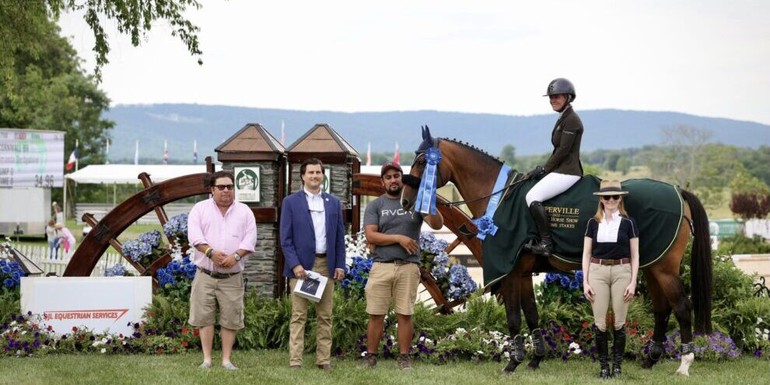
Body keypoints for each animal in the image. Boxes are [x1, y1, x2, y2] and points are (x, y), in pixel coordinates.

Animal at [400, 127, 712, 376]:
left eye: (421, 162)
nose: (404, 200)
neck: (500, 197)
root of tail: (678, 190)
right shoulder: (522, 272)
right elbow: (531, 314)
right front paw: (535, 359)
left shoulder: (509, 273)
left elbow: (514, 318)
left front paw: (512, 363)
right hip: (650, 265)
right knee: (662, 308)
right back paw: (651, 359)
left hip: (663, 268)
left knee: (681, 306)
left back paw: (684, 363)